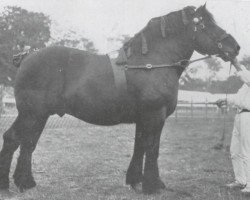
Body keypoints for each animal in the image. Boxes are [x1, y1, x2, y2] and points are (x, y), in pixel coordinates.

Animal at [0, 4, 239, 194]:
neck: (152, 63)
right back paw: (13, 185)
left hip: (36, 115)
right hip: (33, 114)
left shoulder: (144, 119)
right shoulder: (155, 116)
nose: (235, 47)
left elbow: (140, 146)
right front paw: (152, 186)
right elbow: (152, 148)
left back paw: (22, 183)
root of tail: (27, 57)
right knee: (18, 140)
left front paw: (136, 181)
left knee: (23, 142)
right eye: (205, 24)